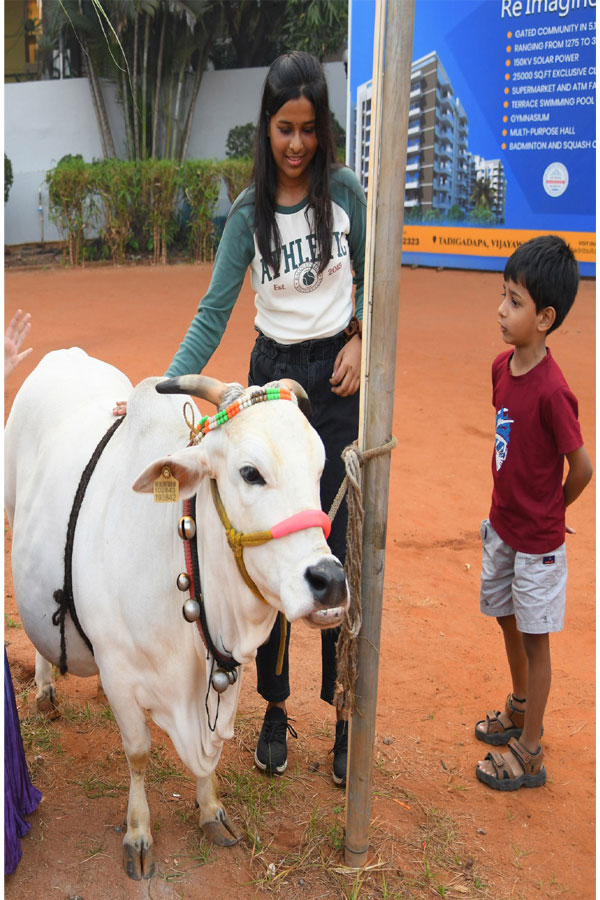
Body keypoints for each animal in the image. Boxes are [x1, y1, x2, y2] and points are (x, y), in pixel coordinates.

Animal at [4, 350, 350, 880]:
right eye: (250, 472)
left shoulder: (228, 669)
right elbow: (139, 752)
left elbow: (212, 756)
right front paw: (138, 832)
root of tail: (65, 354)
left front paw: (211, 810)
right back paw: (44, 689)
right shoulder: (121, 673)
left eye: (318, 471)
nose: (329, 581)